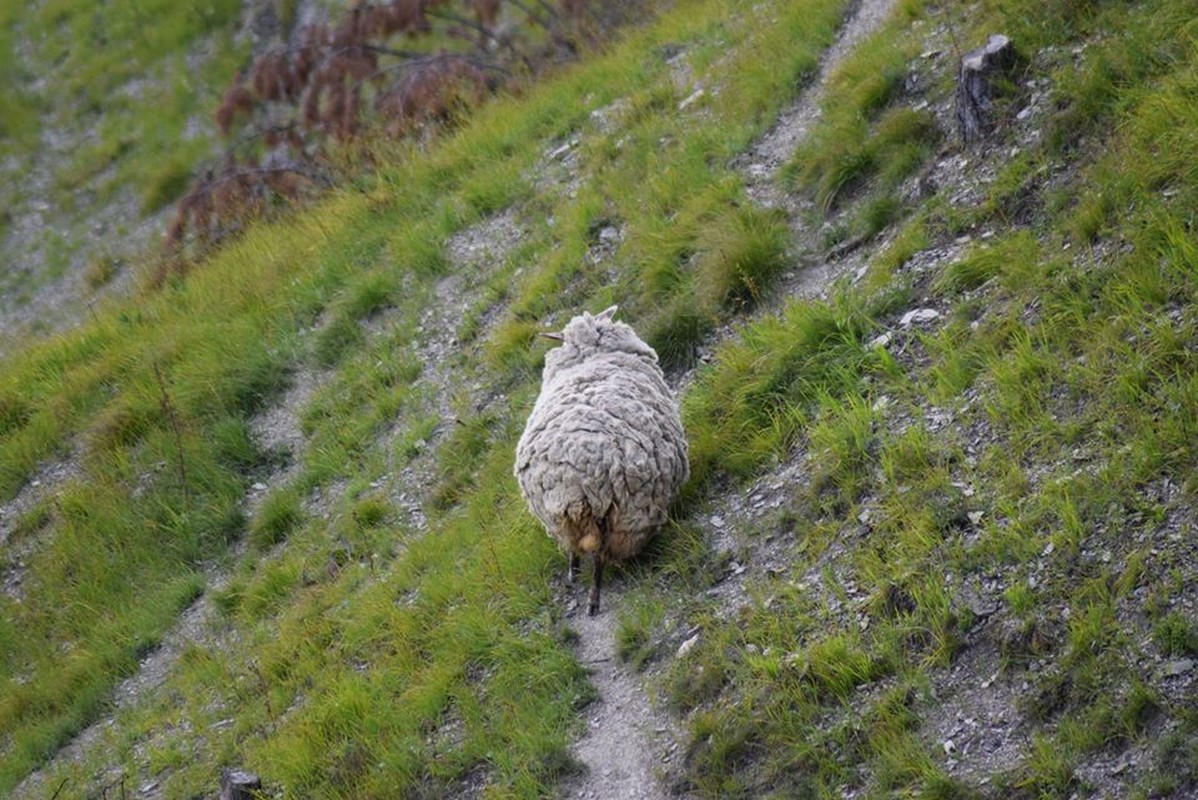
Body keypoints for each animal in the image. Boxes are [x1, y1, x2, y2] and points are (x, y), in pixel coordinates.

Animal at [510, 304, 690, 613]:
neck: (588, 356)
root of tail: (572, 488)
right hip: (614, 510)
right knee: (601, 556)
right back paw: (593, 599)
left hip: (556, 515)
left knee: (573, 547)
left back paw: (573, 574)